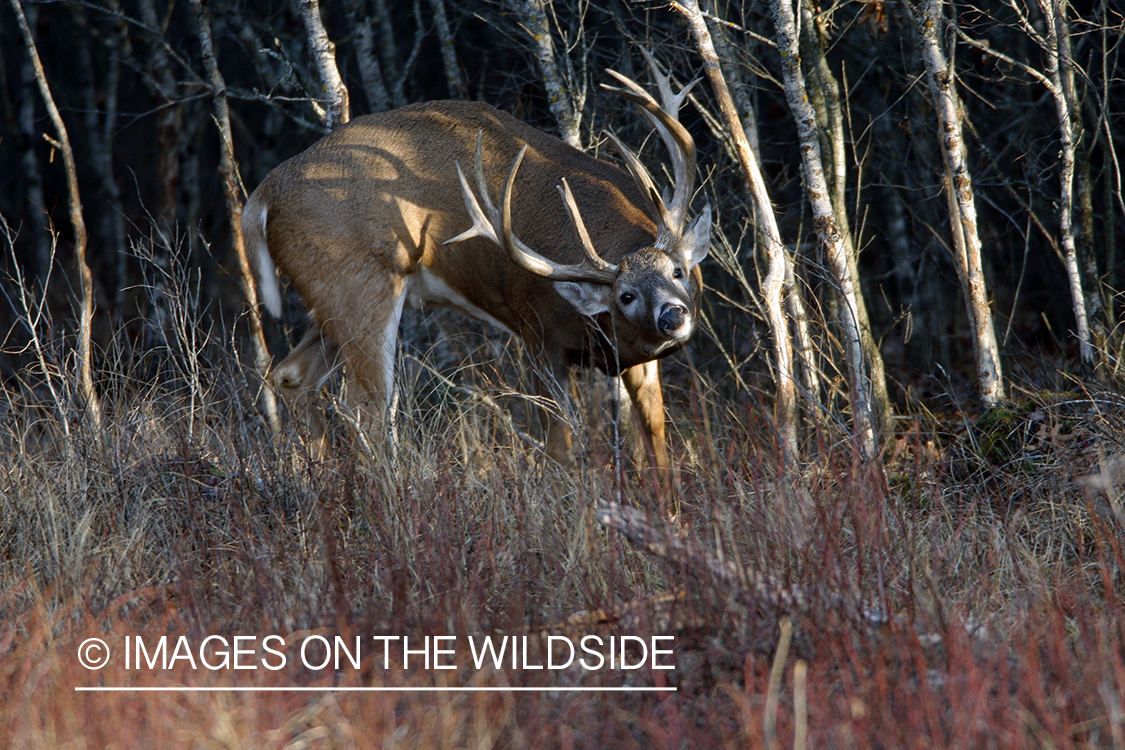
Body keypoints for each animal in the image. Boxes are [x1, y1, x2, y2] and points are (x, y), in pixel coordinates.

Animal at [241, 58, 706, 470]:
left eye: (678, 272)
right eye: (624, 296)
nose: (672, 316)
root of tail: (262, 196)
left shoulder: (640, 360)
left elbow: (658, 446)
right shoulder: (538, 334)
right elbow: (560, 449)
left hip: (329, 301)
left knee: (291, 375)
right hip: (359, 287)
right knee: (365, 408)